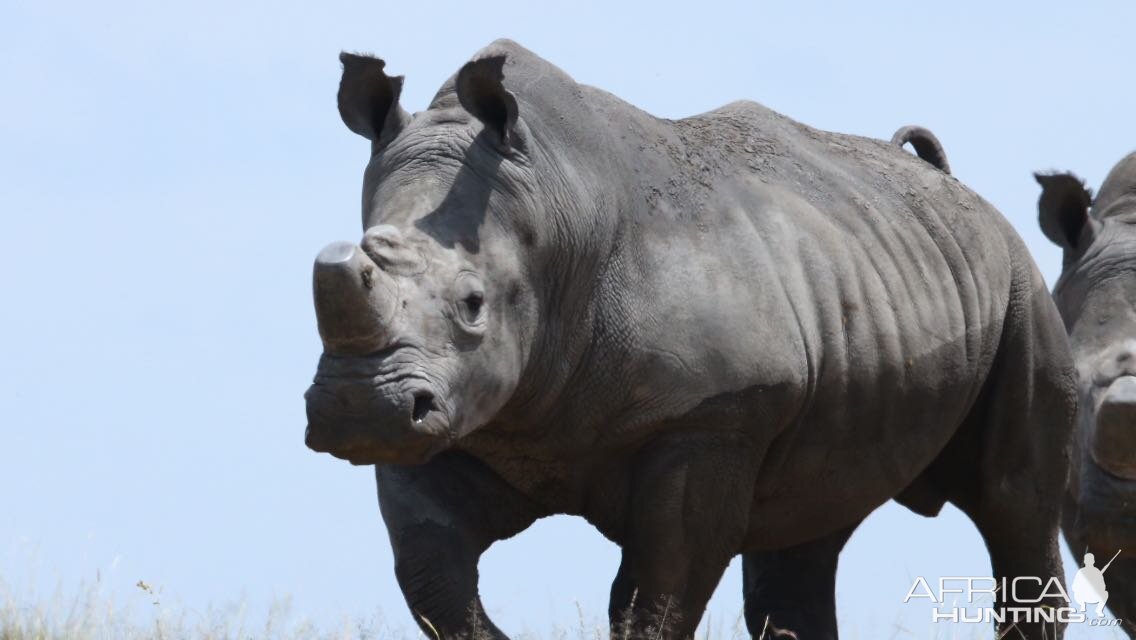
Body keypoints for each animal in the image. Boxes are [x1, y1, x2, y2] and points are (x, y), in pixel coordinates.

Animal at [306, 40, 1076, 640]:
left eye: (473, 304)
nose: (357, 411)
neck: (556, 214)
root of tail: (948, 184)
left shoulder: (713, 417)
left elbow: (656, 595)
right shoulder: (455, 412)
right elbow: (433, 577)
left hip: (1020, 284)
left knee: (1015, 503)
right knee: (812, 520)